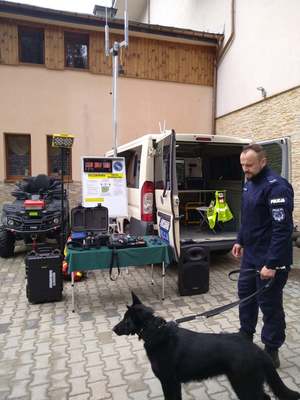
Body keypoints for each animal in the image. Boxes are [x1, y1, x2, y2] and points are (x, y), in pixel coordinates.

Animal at [113, 290, 300, 400]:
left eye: (126, 320)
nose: (113, 329)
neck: (155, 331)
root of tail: (256, 350)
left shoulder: (169, 382)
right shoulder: (173, 384)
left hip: (244, 385)